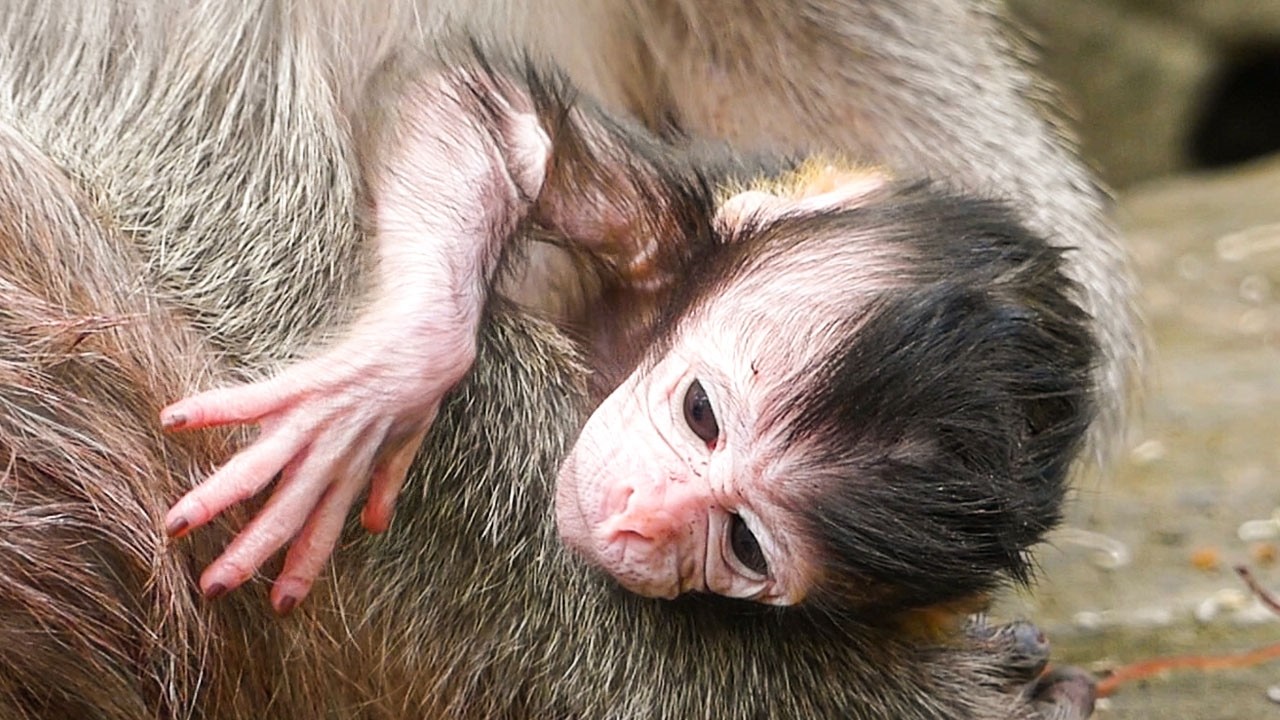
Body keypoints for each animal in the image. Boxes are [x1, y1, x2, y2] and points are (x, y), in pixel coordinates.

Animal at [160, 44, 1096, 619]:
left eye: (746, 543)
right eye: (700, 414)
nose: (643, 516)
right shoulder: (669, 226)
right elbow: (505, 125)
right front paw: (392, 373)